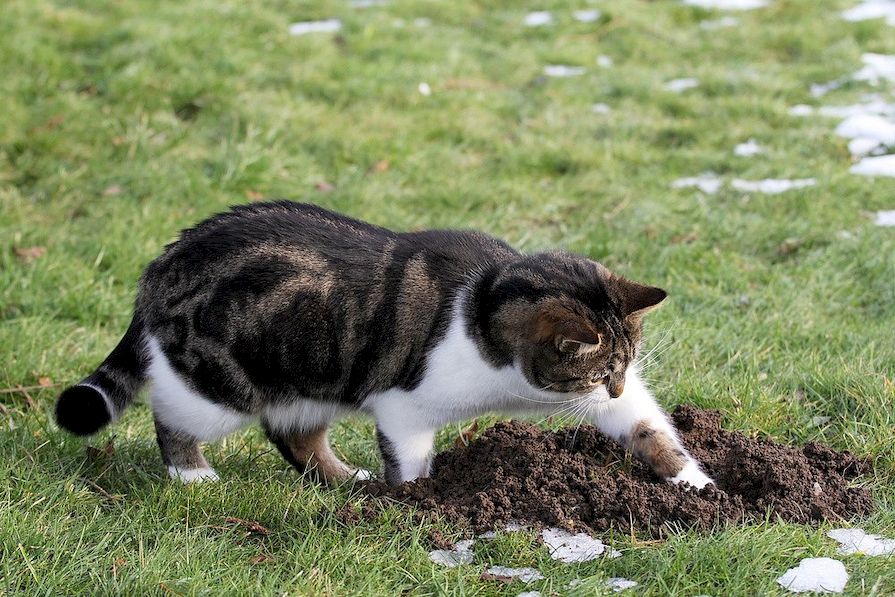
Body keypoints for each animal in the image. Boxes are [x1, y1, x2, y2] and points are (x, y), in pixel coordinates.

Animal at [56, 201, 712, 488]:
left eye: (624, 368)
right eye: (599, 372)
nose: (616, 387)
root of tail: (161, 263)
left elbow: (649, 429)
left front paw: (697, 489)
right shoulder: (406, 408)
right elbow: (413, 462)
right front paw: (420, 505)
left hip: (314, 380)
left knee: (295, 436)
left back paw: (348, 480)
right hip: (217, 388)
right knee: (171, 414)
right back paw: (192, 475)